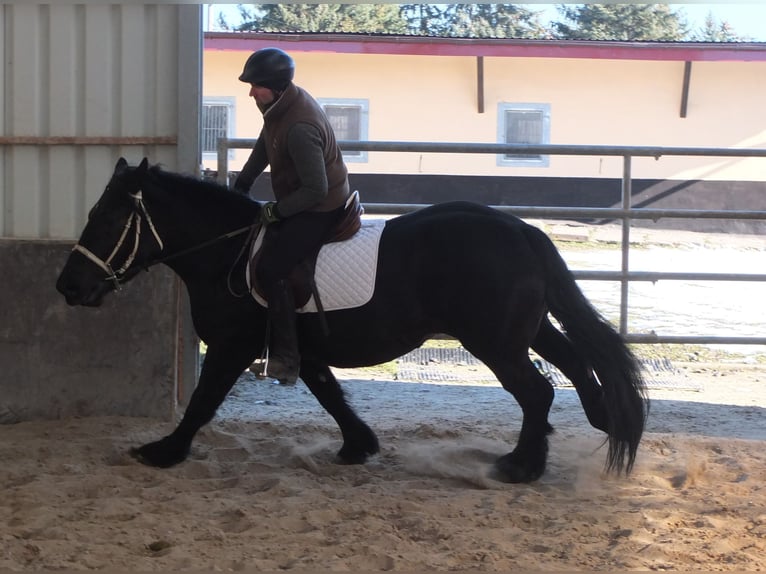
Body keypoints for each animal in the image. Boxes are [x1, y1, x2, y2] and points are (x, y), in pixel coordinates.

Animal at [57, 159, 652, 486]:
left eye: (106, 218)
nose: (68, 287)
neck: (227, 252)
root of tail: (522, 230)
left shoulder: (231, 345)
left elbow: (203, 401)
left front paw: (164, 451)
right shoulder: (300, 347)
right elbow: (329, 392)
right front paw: (358, 446)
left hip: (495, 342)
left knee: (537, 391)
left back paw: (520, 466)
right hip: (523, 330)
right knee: (573, 367)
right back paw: (596, 425)